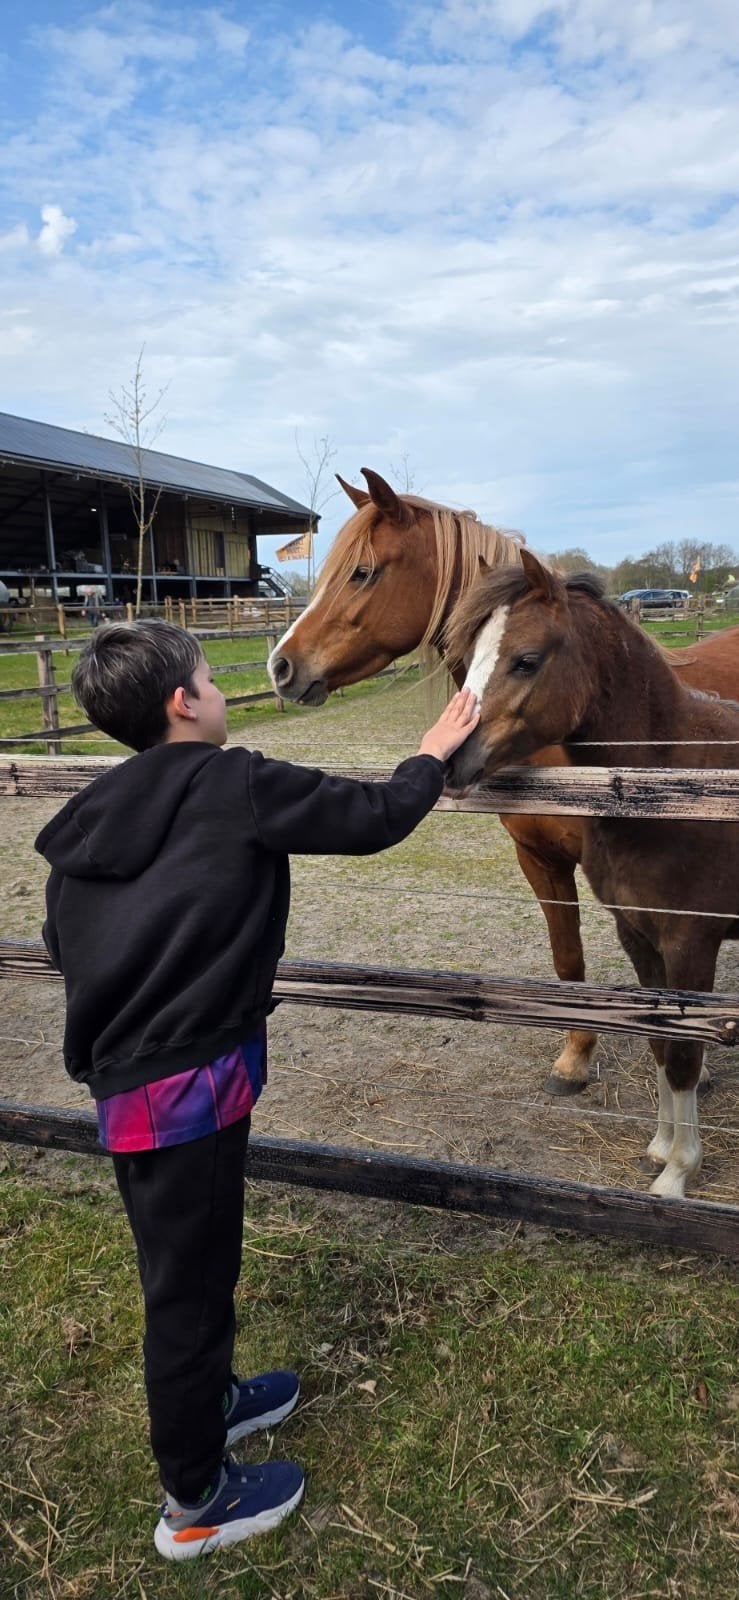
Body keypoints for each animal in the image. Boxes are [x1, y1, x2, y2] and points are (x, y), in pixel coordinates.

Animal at [443, 548, 739, 1198]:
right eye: (467, 659)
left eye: (526, 660)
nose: (448, 758)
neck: (669, 785)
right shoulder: (638, 935)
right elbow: (658, 1043)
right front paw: (660, 1148)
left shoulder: (691, 942)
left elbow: (685, 1056)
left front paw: (678, 1175)